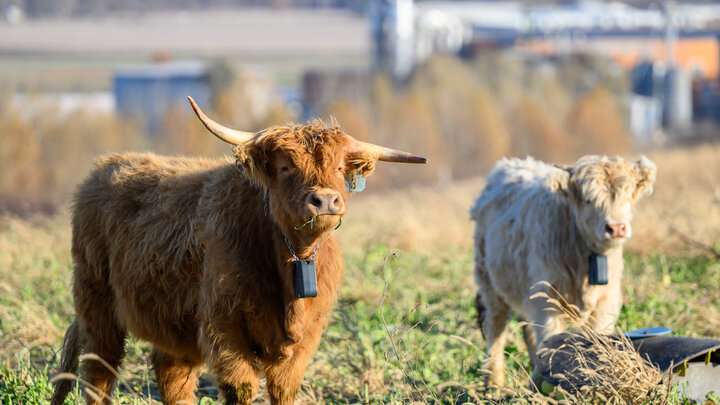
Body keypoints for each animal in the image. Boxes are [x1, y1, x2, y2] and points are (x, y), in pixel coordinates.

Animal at [50, 97, 427, 405]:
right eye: (286, 167)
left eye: (338, 168)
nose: (325, 201)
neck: (292, 260)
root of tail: (108, 165)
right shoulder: (225, 328)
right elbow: (240, 389)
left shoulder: (306, 338)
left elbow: (284, 391)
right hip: (96, 301)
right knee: (99, 372)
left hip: (172, 324)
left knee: (171, 376)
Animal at [470, 155, 656, 388]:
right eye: (588, 199)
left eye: (628, 196)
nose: (616, 228)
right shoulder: (547, 299)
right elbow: (550, 341)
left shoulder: (606, 303)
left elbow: (597, 341)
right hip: (489, 281)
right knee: (496, 326)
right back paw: (493, 381)